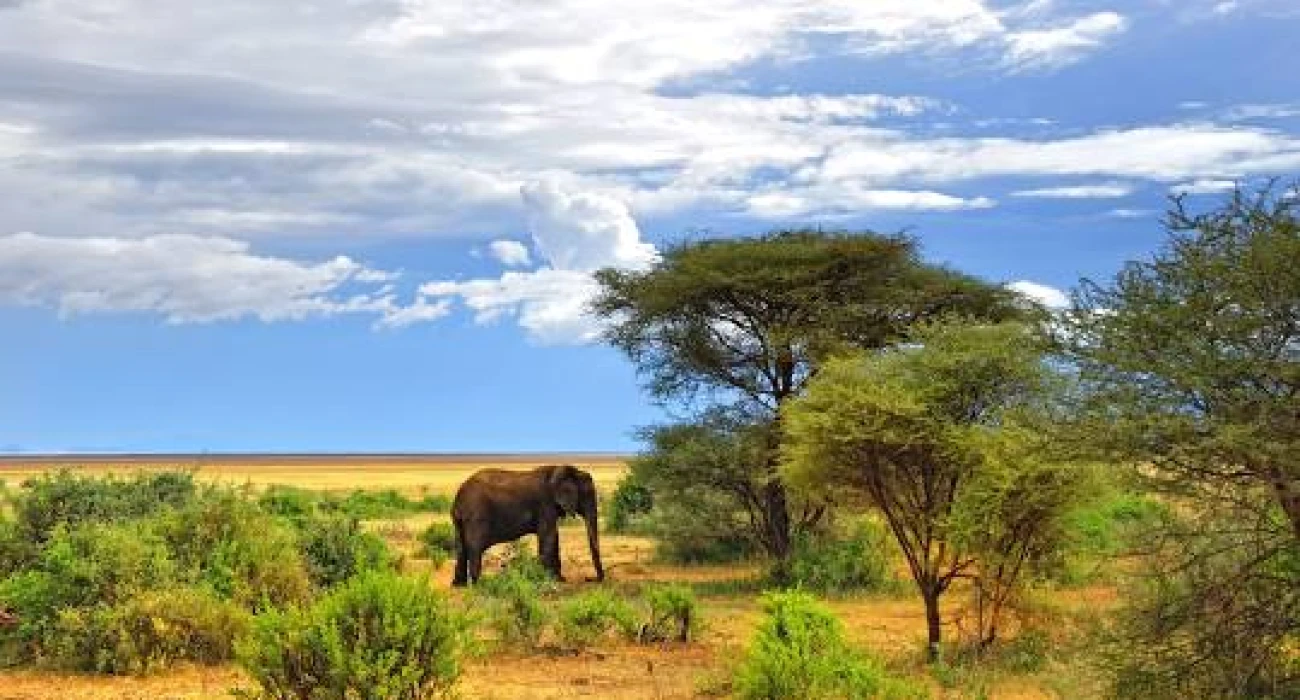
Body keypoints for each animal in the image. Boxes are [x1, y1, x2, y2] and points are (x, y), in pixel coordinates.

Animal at [449, 463, 605, 582]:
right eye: (588, 495)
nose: (589, 579)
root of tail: (458, 499)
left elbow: (554, 537)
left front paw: (559, 579)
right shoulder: (545, 504)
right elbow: (549, 537)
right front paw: (549, 580)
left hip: (460, 521)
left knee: (461, 548)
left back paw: (459, 585)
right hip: (476, 516)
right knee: (474, 548)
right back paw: (480, 584)